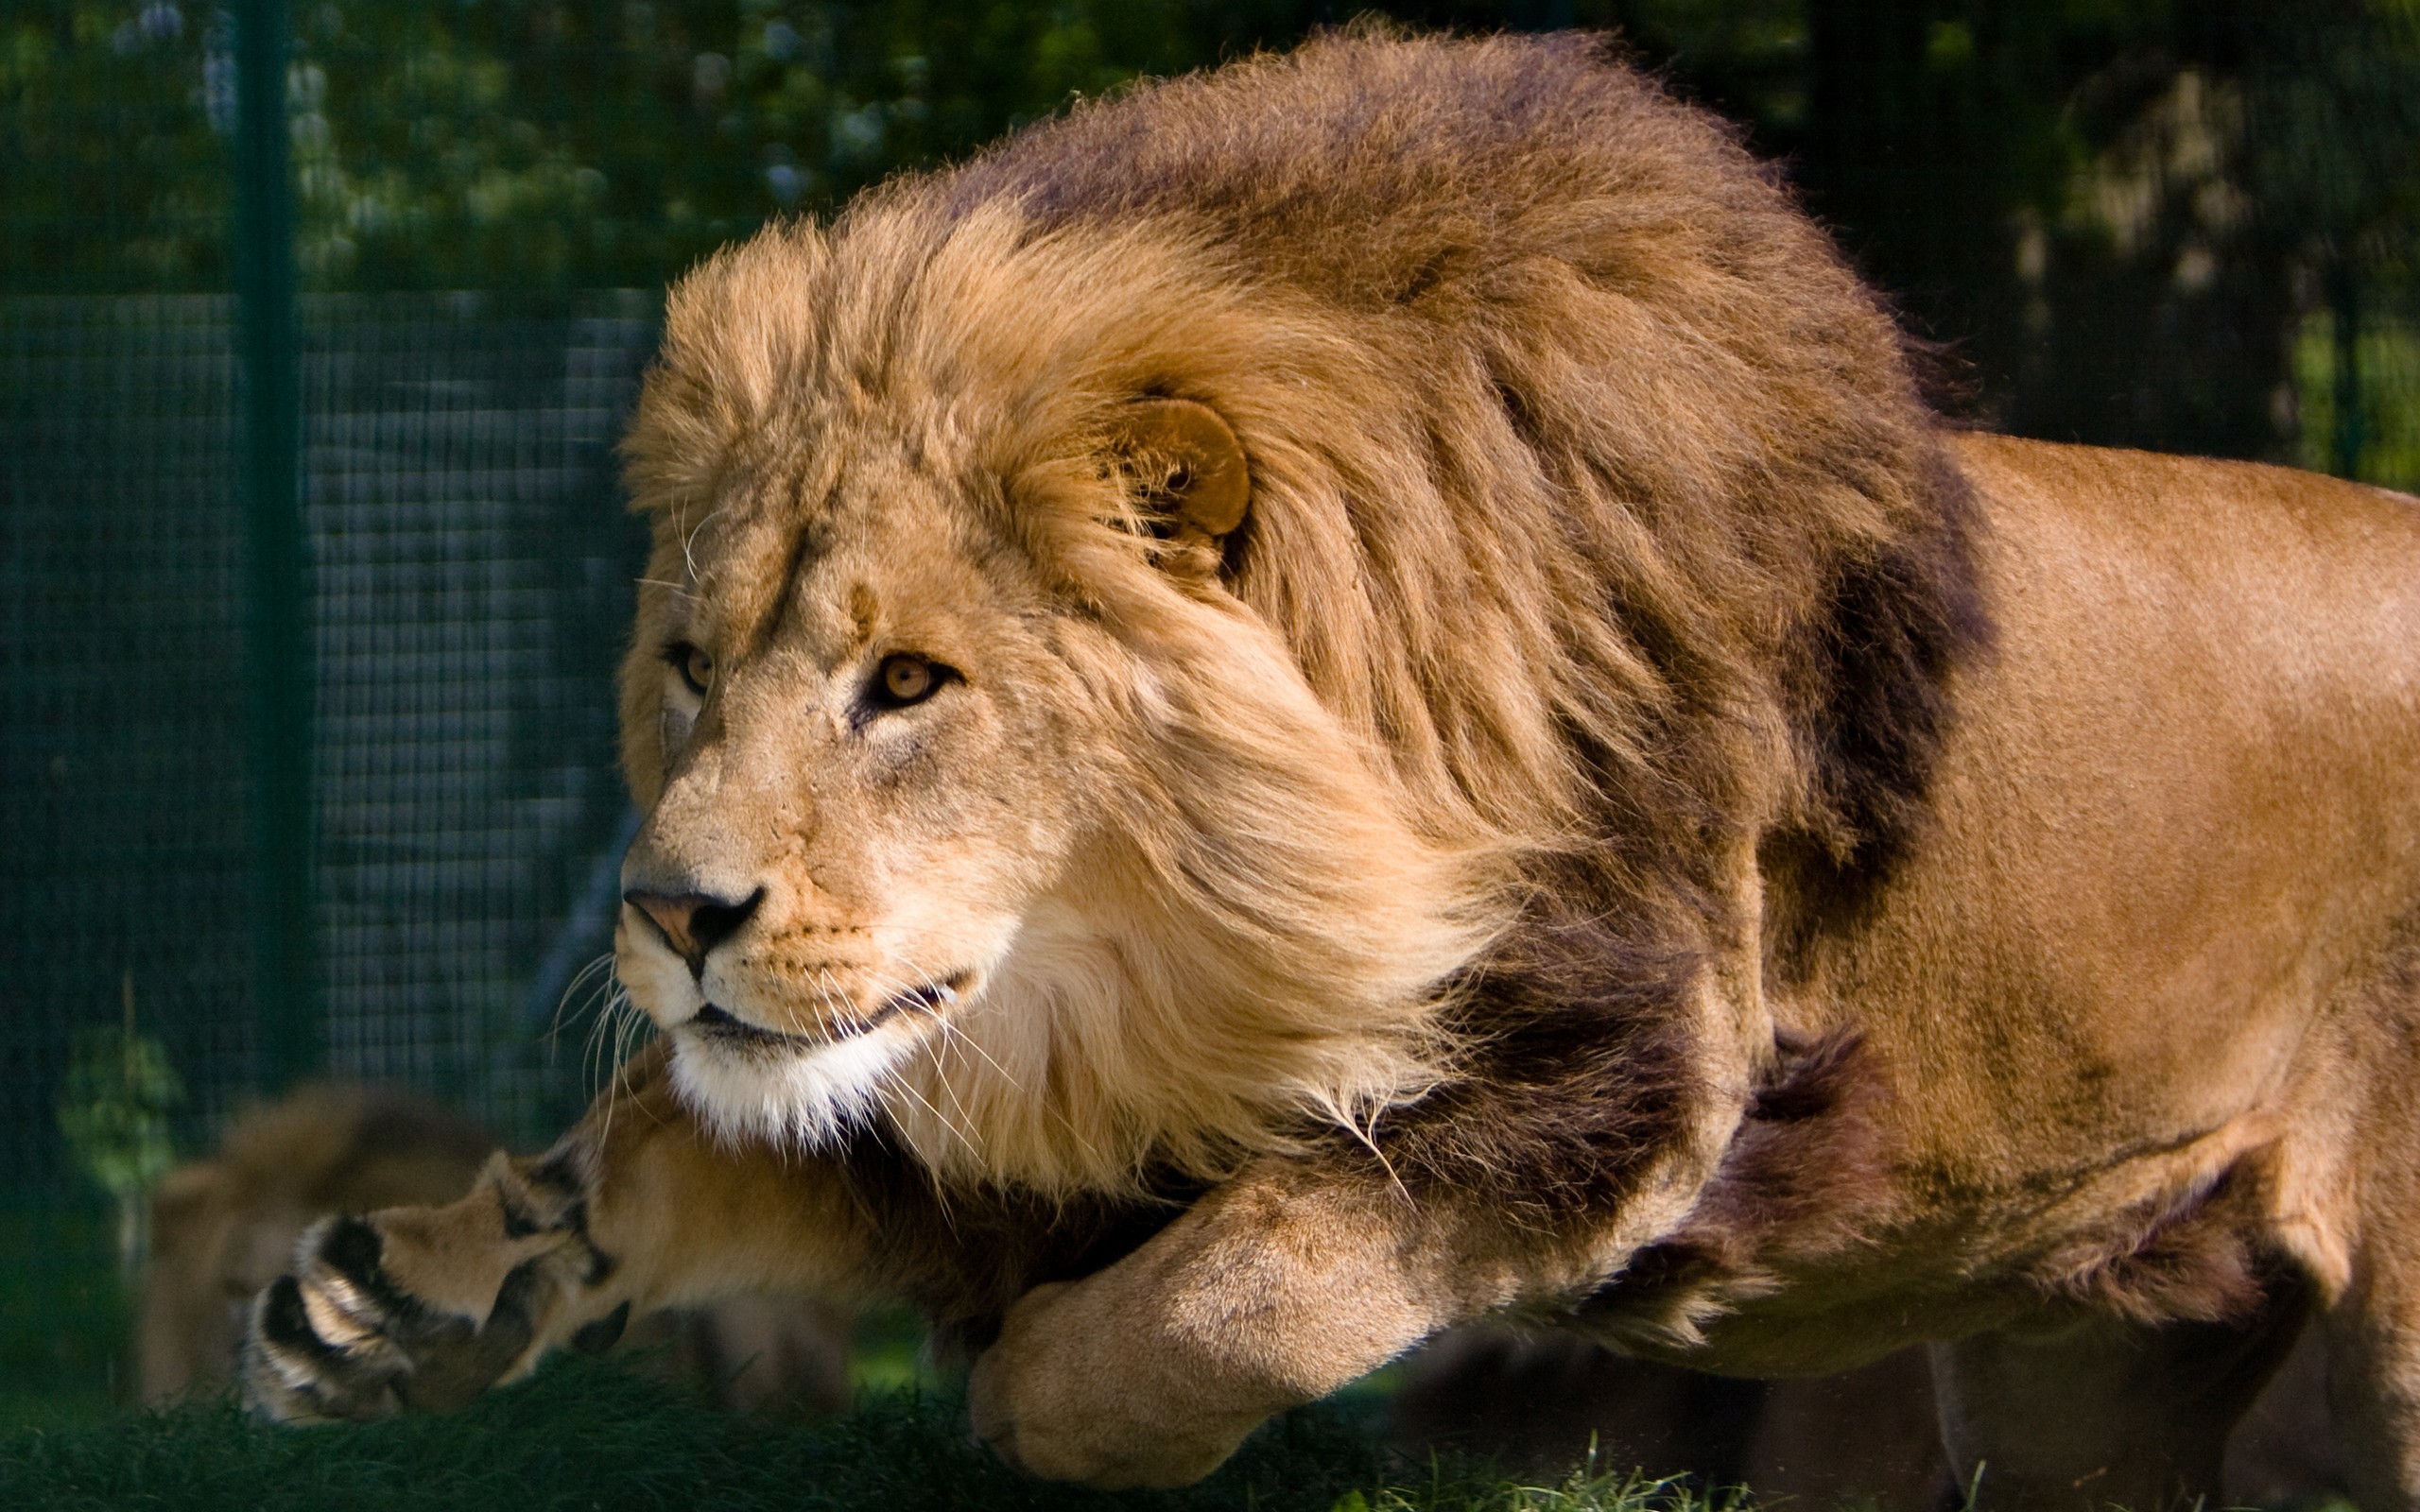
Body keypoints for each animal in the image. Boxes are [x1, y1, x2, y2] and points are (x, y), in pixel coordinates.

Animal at [239, 30, 2420, 1508]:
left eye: (907, 682)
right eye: (691, 668)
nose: (670, 914)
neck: (1150, 973)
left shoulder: (1633, 1063)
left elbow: (1241, 1286)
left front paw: (1031, 1382)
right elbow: (675, 1146)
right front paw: (400, 1298)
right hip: (2080, 1376)